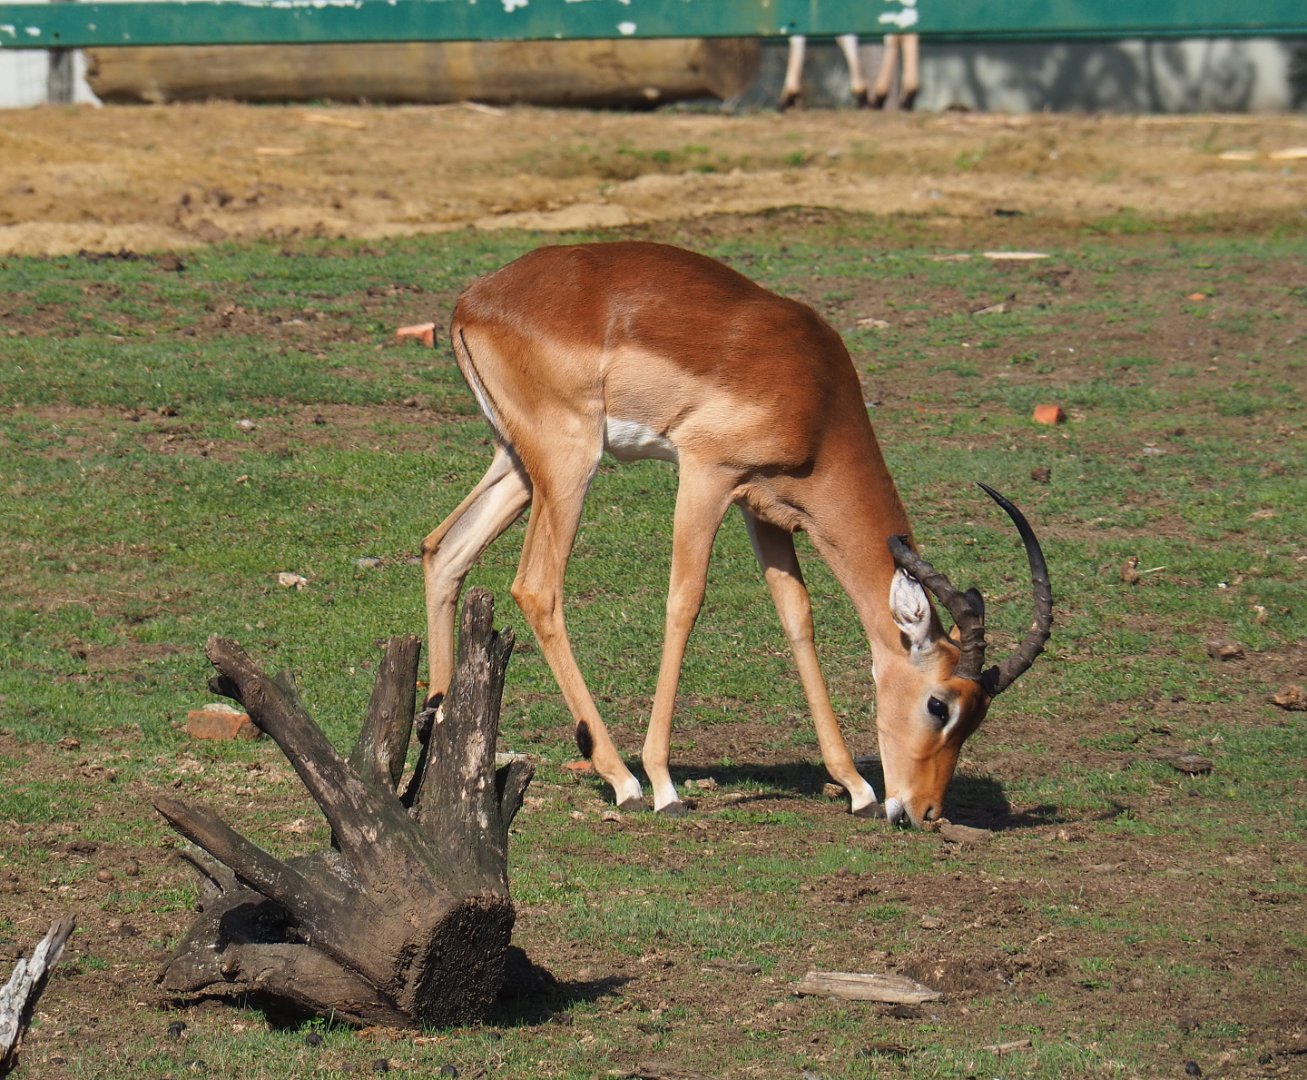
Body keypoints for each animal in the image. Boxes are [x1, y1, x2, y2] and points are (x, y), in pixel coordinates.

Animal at [404, 241, 1052, 827]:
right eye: (939, 703)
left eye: (978, 716)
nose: (924, 812)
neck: (816, 395)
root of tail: (473, 301)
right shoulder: (705, 475)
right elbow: (685, 602)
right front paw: (665, 785)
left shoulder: (765, 508)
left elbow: (797, 616)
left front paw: (857, 788)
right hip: (568, 464)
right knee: (536, 587)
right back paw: (624, 781)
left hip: (517, 463)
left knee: (444, 549)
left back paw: (439, 747)